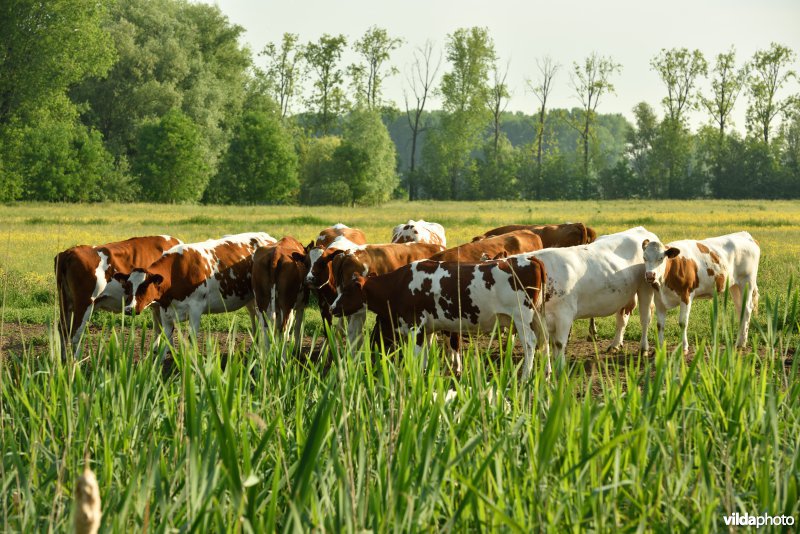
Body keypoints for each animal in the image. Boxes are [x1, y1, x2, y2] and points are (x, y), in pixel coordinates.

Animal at [112, 233, 276, 344]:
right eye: (127, 286)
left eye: (144, 286)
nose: (129, 309)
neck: (175, 272)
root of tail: (268, 237)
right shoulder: (166, 313)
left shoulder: (196, 310)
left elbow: (191, 342)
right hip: (251, 299)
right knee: (254, 318)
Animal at [332, 256, 552, 378]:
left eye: (348, 291)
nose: (333, 307)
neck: (400, 285)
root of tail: (529, 259)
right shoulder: (427, 328)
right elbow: (427, 353)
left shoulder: (415, 325)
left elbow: (417, 355)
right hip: (537, 316)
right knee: (545, 340)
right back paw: (547, 373)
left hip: (522, 317)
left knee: (530, 343)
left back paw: (525, 376)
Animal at [524, 227, 656, 358]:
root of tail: (640, 229)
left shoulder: (563, 315)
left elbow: (558, 344)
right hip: (624, 294)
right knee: (622, 318)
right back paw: (615, 345)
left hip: (645, 287)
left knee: (645, 318)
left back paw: (643, 348)